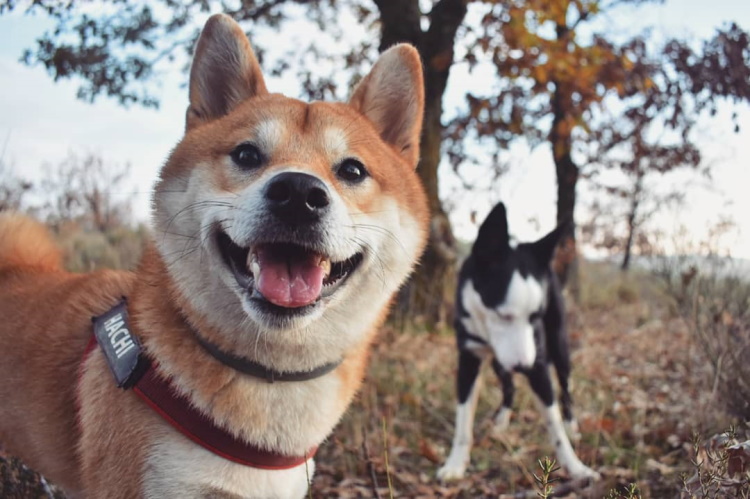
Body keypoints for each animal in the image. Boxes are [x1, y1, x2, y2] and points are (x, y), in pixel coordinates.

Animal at [438, 203, 604, 484]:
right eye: (503, 314)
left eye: (535, 316)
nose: (525, 367)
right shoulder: (469, 360)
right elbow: (463, 420)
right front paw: (455, 463)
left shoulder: (539, 362)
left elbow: (554, 423)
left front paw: (575, 467)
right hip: (500, 362)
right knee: (509, 388)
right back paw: (502, 420)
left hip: (559, 346)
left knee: (565, 389)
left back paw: (572, 425)